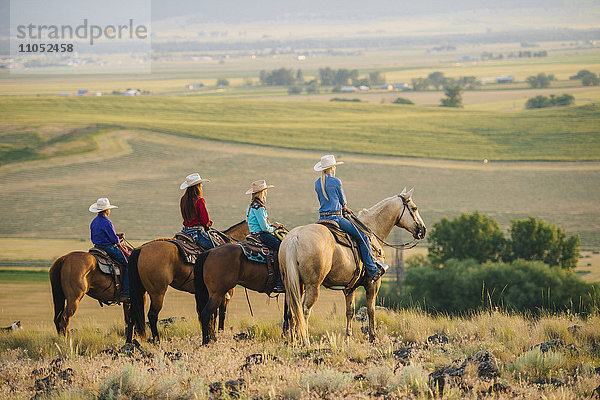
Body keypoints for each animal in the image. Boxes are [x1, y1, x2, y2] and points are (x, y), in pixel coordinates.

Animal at [282, 189, 426, 346]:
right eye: (414, 208)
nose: (423, 230)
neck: (372, 230)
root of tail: (295, 237)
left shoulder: (350, 287)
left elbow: (350, 311)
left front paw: (347, 338)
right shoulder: (373, 283)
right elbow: (371, 310)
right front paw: (373, 337)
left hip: (293, 285)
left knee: (291, 312)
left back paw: (293, 342)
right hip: (312, 286)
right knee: (304, 310)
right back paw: (305, 341)